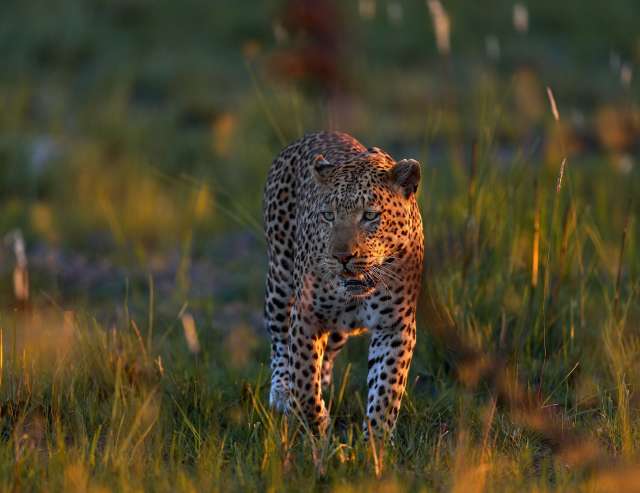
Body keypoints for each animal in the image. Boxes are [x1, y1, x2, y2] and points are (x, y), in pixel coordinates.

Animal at [263, 131, 424, 438]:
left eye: (370, 215)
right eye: (328, 215)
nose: (342, 257)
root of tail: (319, 132)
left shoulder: (395, 326)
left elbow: (386, 389)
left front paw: (375, 442)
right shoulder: (306, 316)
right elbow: (303, 378)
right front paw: (317, 427)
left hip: (338, 329)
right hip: (279, 280)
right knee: (278, 341)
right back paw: (281, 393)